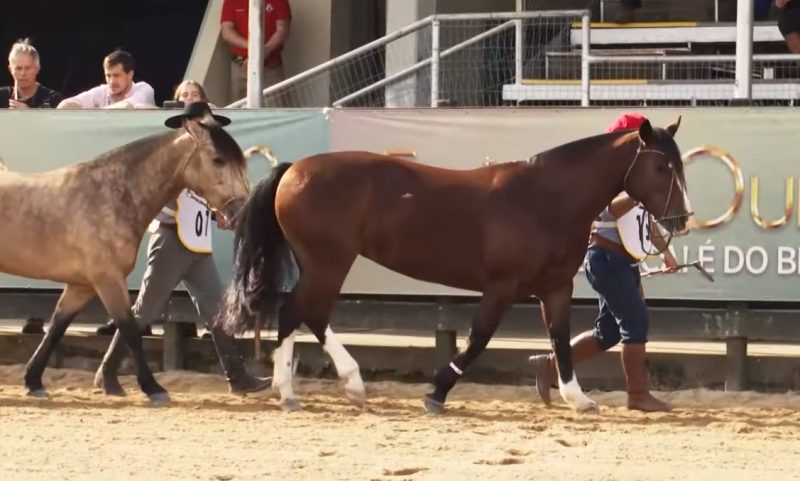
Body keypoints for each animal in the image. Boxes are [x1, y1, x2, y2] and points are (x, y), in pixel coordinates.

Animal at [0, 111, 251, 404]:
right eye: (218, 159)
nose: (241, 211)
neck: (110, 195)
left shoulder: (81, 286)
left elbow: (55, 329)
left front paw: (34, 381)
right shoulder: (108, 280)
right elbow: (130, 330)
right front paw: (153, 388)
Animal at [215, 117, 692, 413]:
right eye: (661, 166)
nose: (682, 219)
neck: (544, 200)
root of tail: (294, 169)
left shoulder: (556, 287)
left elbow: (559, 338)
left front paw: (578, 399)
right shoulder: (502, 285)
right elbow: (479, 338)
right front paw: (437, 392)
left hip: (320, 262)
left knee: (294, 314)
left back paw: (291, 392)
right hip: (329, 261)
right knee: (307, 312)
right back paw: (345, 385)